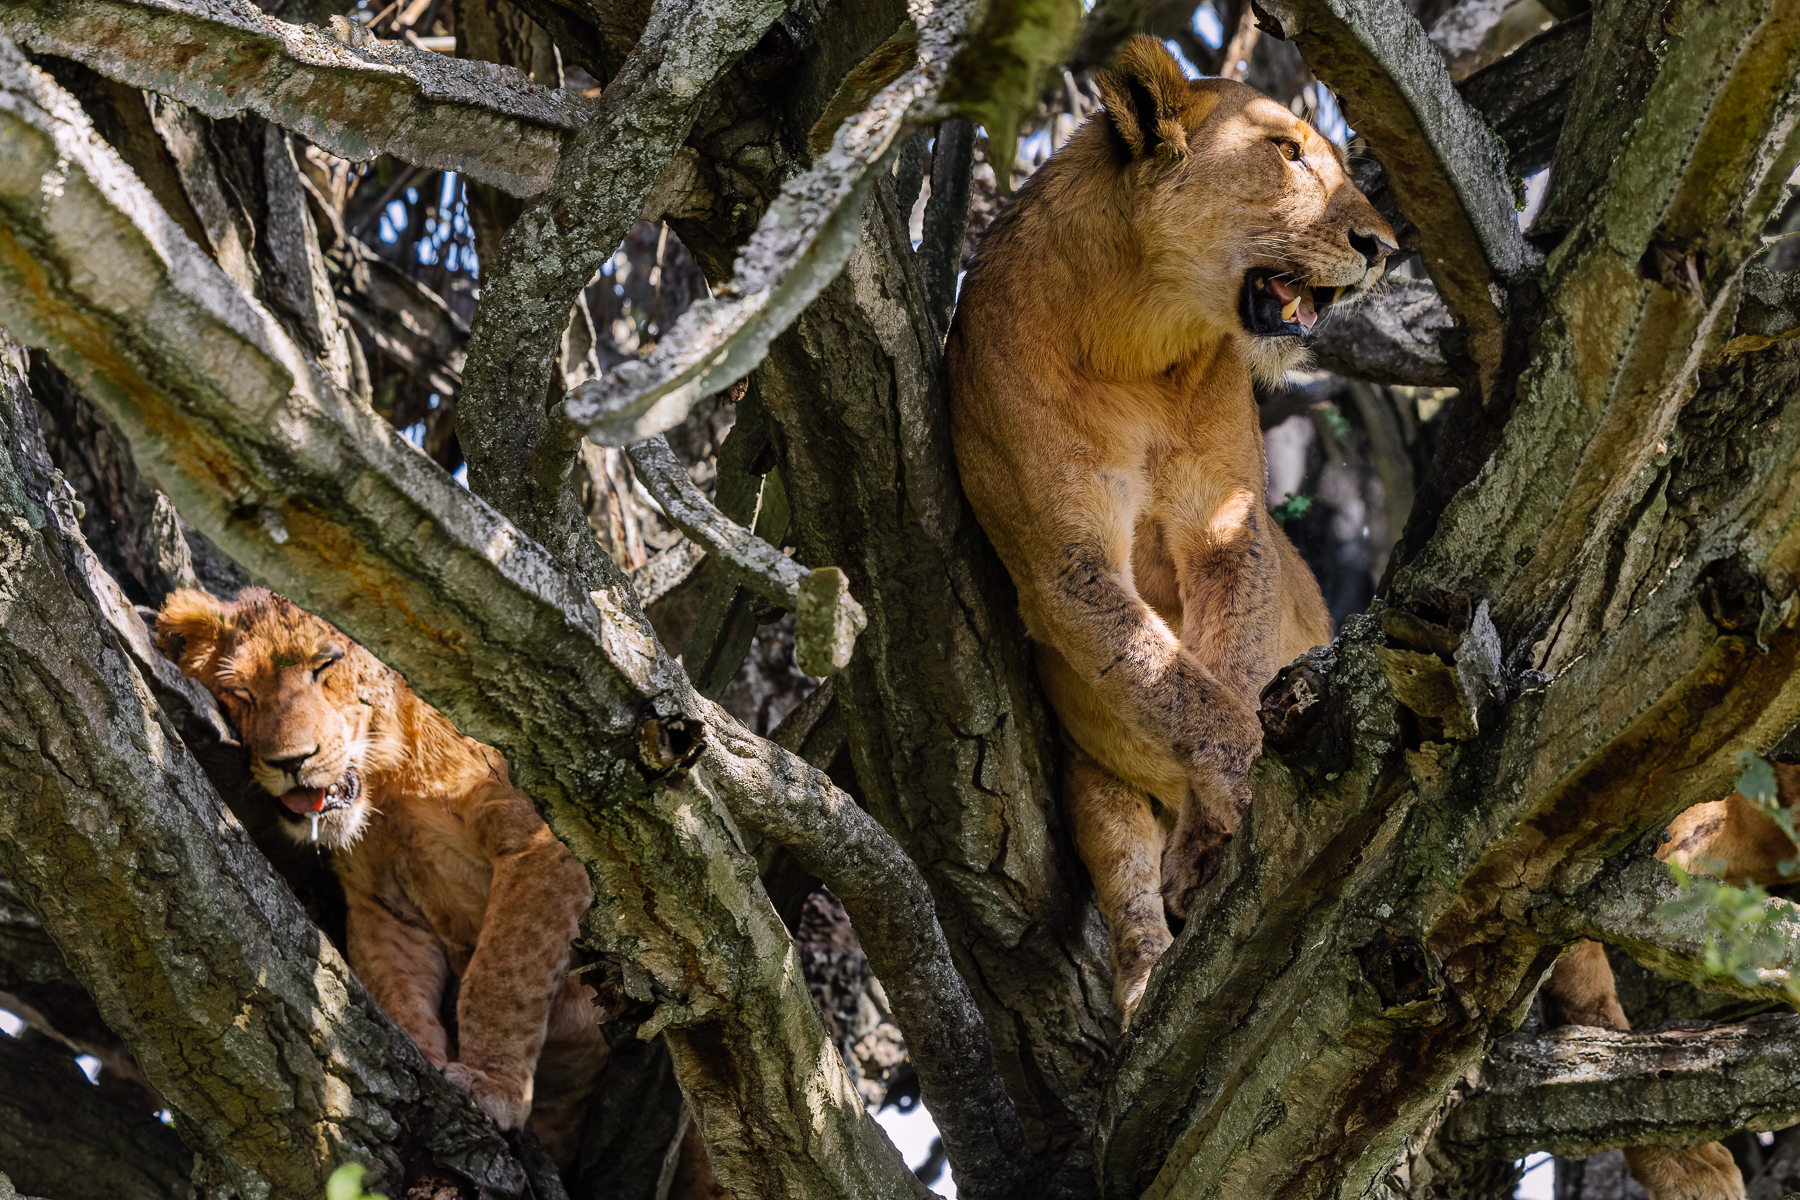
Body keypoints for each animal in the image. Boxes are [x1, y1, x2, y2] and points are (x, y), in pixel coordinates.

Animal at [156, 587, 605, 1168]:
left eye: (325, 666)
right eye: (241, 693)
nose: (291, 762)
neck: (389, 776)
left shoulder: (544, 847)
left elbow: (504, 978)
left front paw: (492, 1085)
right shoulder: (380, 903)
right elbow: (400, 991)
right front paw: (426, 1070)